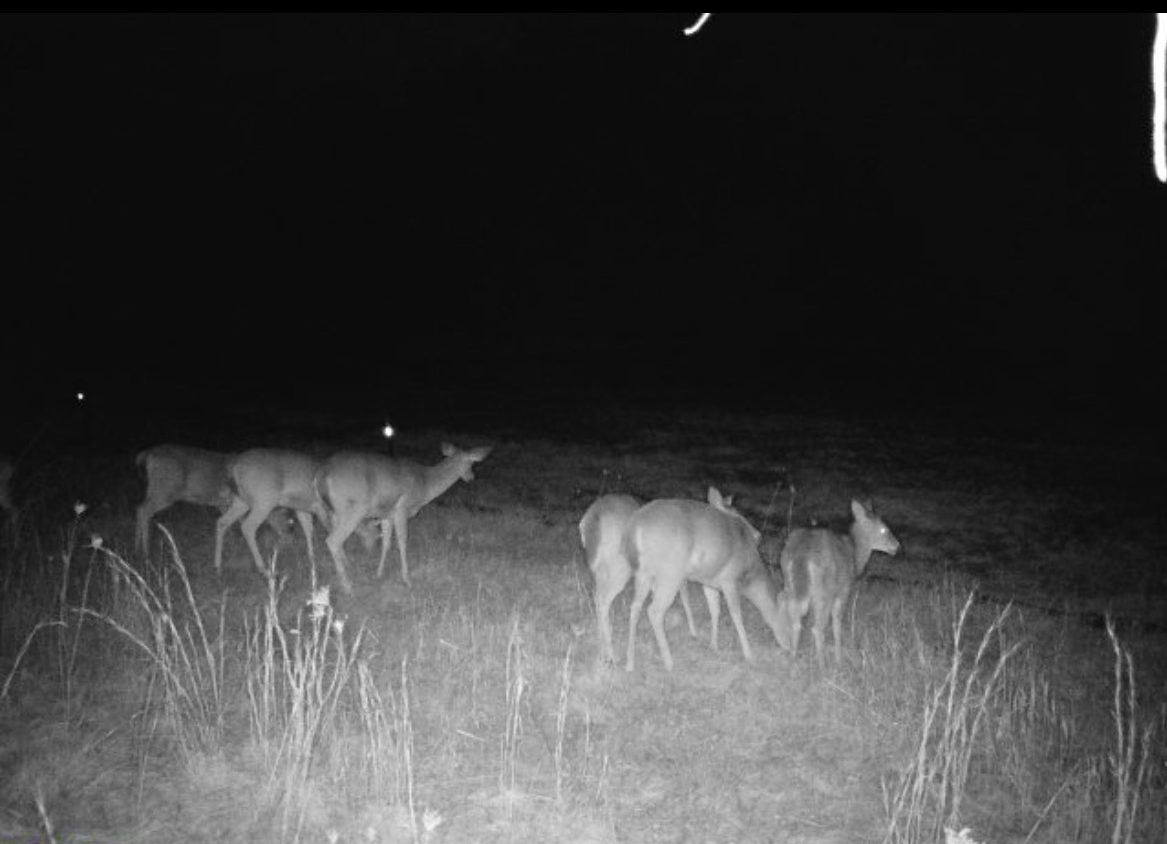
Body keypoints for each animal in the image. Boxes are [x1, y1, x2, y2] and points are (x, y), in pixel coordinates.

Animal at [134, 441, 296, 555]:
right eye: (288, 516)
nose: (290, 533)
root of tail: (146, 454)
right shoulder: (233, 499)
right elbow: (239, 522)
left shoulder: (223, 502)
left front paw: (232, 541)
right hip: (165, 489)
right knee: (144, 509)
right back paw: (145, 551)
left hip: (155, 489)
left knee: (139, 507)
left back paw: (137, 546)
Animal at [312, 441, 490, 595]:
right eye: (471, 463)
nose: (471, 477)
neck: (425, 484)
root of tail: (321, 475)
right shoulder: (401, 509)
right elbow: (402, 542)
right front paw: (407, 579)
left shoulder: (387, 514)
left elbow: (386, 543)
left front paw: (379, 573)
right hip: (354, 509)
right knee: (332, 540)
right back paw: (347, 586)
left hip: (333, 511)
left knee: (335, 539)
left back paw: (348, 569)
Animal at [620, 487, 784, 672]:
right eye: (737, 513)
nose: (758, 535)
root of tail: (635, 528)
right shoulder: (726, 580)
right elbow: (733, 613)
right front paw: (749, 655)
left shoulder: (705, 580)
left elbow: (708, 607)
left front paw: (707, 641)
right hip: (669, 574)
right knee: (654, 611)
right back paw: (669, 662)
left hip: (644, 574)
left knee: (636, 607)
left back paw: (630, 663)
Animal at [774, 499, 900, 672]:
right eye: (883, 529)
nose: (897, 546)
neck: (855, 557)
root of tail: (801, 554)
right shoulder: (843, 591)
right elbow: (837, 624)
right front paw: (839, 660)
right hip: (825, 590)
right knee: (817, 628)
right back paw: (822, 667)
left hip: (791, 580)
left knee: (787, 606)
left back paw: (789, 653)